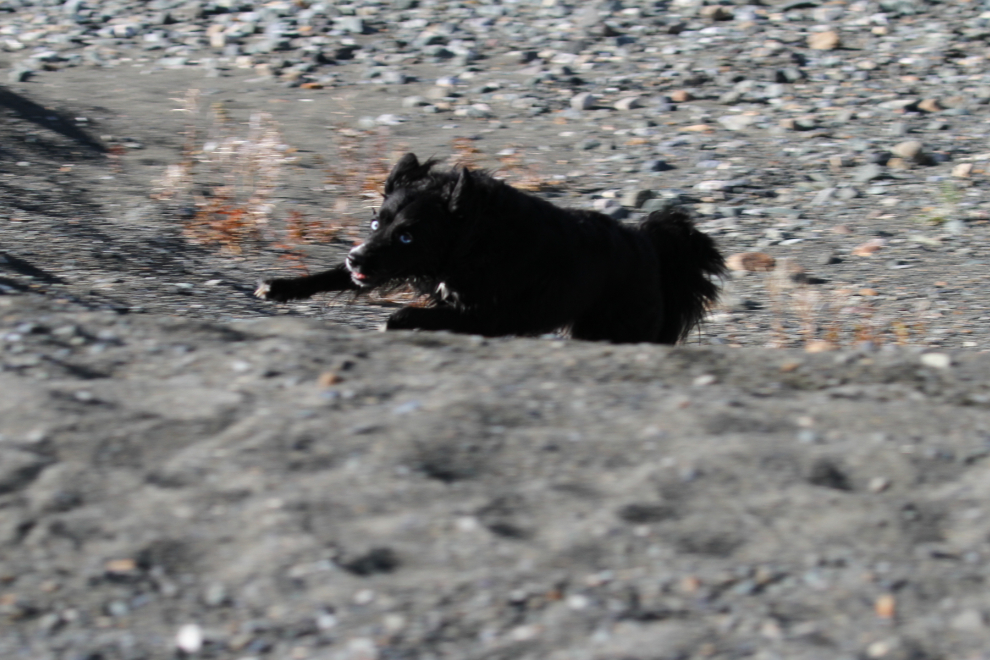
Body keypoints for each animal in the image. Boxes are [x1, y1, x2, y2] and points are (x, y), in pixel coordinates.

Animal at [252, 152, 724, 342]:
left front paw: (395, 324)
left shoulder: (489, 315)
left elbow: (403, 314)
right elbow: (334, 277)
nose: (356, 257)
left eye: (407, 235)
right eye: (375, 223)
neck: (474, 242)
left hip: (611, 327)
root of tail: (652, 245)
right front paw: (279, 286)